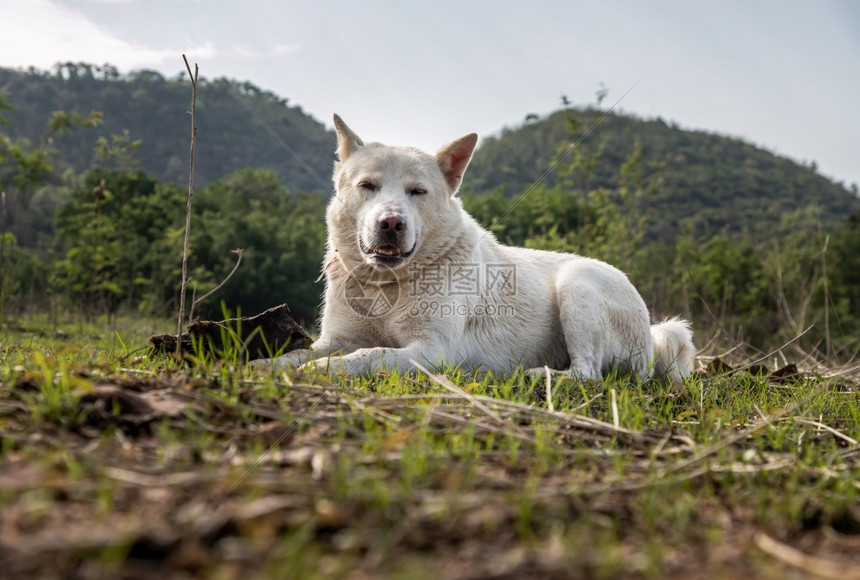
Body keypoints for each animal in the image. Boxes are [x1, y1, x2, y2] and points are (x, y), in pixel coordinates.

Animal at [258, 115, 696, 382]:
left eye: (417, 192)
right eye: (367, 186)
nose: (391, 224)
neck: (388, 286)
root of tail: (652, 330)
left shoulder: (433, 350)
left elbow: (367, 356)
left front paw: (313, 374)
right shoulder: (333, 339)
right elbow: (300, 354)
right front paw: (264, 366)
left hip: (579, 285)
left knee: (588, 373)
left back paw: (532, 375)